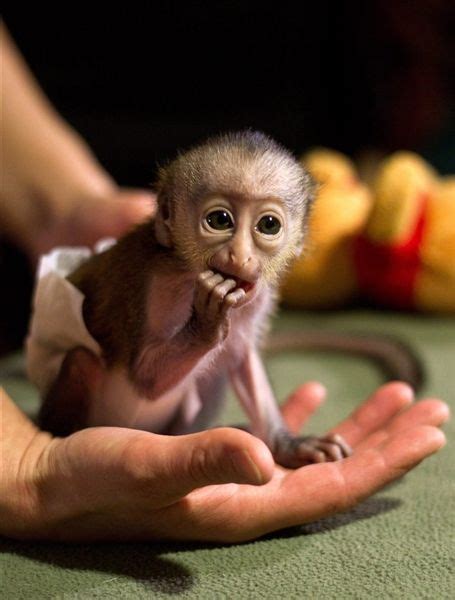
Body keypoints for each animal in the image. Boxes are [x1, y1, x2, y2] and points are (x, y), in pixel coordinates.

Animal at [39, 131, 352, 468]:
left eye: (269, 225)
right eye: (220, 220)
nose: (239, 256)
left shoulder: (257, 296)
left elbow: (241, 357)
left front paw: (290, 445)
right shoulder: (159, 284)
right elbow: (144, 378)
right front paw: (206, 323)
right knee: (80, 360)